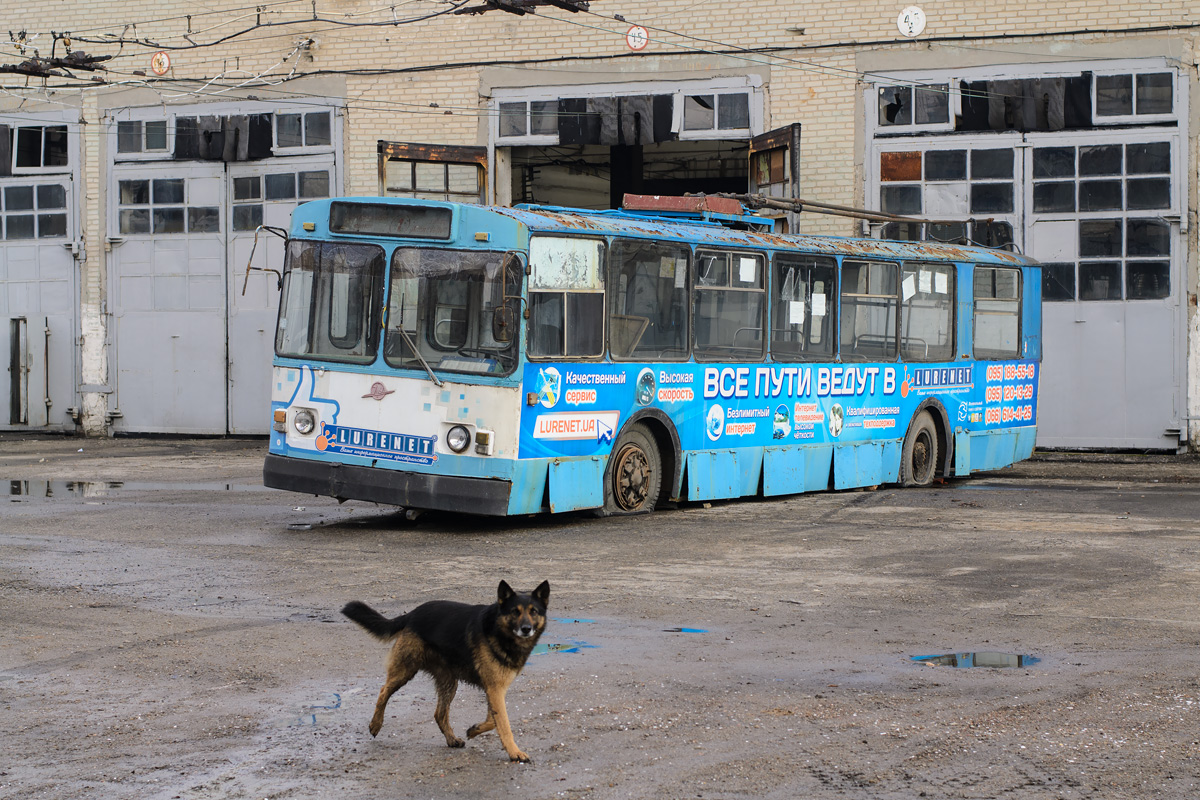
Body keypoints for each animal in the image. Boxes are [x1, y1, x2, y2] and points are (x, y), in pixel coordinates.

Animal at [343, 582, 549, 762]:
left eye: (534, 611)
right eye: (515, 611)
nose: (526, 629)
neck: (499, 631)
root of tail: (412, 614)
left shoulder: (496, 689)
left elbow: (494, 719)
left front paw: (474, 730)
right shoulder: (494, 689)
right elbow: (504, 724)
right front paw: (515, 753)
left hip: (449, 682)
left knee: (439, 713)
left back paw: (451, 739)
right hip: (405, 670)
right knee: (383, 691)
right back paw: (375, 724)